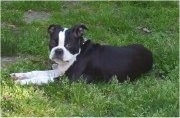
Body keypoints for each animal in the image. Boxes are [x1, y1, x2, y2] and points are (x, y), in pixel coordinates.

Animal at [10, 23, 153, 84]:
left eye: (68, 45)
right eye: (53, 43)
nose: (58, 50)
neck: (78, 54)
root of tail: (149, 52)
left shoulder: (70, 79)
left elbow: (42, 78)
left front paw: (23, 82)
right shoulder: (59, 71)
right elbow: (37, 72)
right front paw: (19, 75)